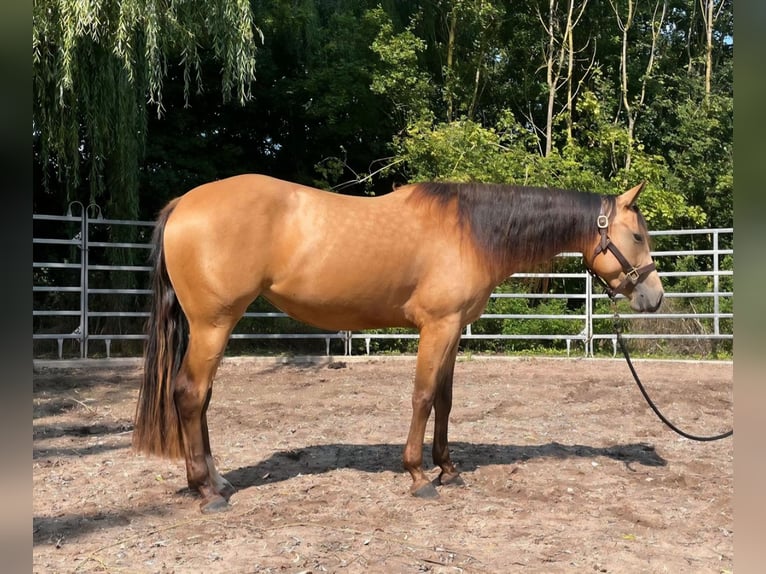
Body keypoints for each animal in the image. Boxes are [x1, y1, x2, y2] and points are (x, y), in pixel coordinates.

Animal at [132, 175, 664, 513]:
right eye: (637, 235)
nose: (654, 297)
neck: (471, 232)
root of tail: (182, 205)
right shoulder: (437, 327)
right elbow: (423, 397)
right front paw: (418, 476)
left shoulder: (453, 331)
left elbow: (445, 401)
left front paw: (448, 469)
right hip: (213, 325)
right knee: (190, 395)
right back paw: (208, 492)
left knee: (200, 400)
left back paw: (217, 481)